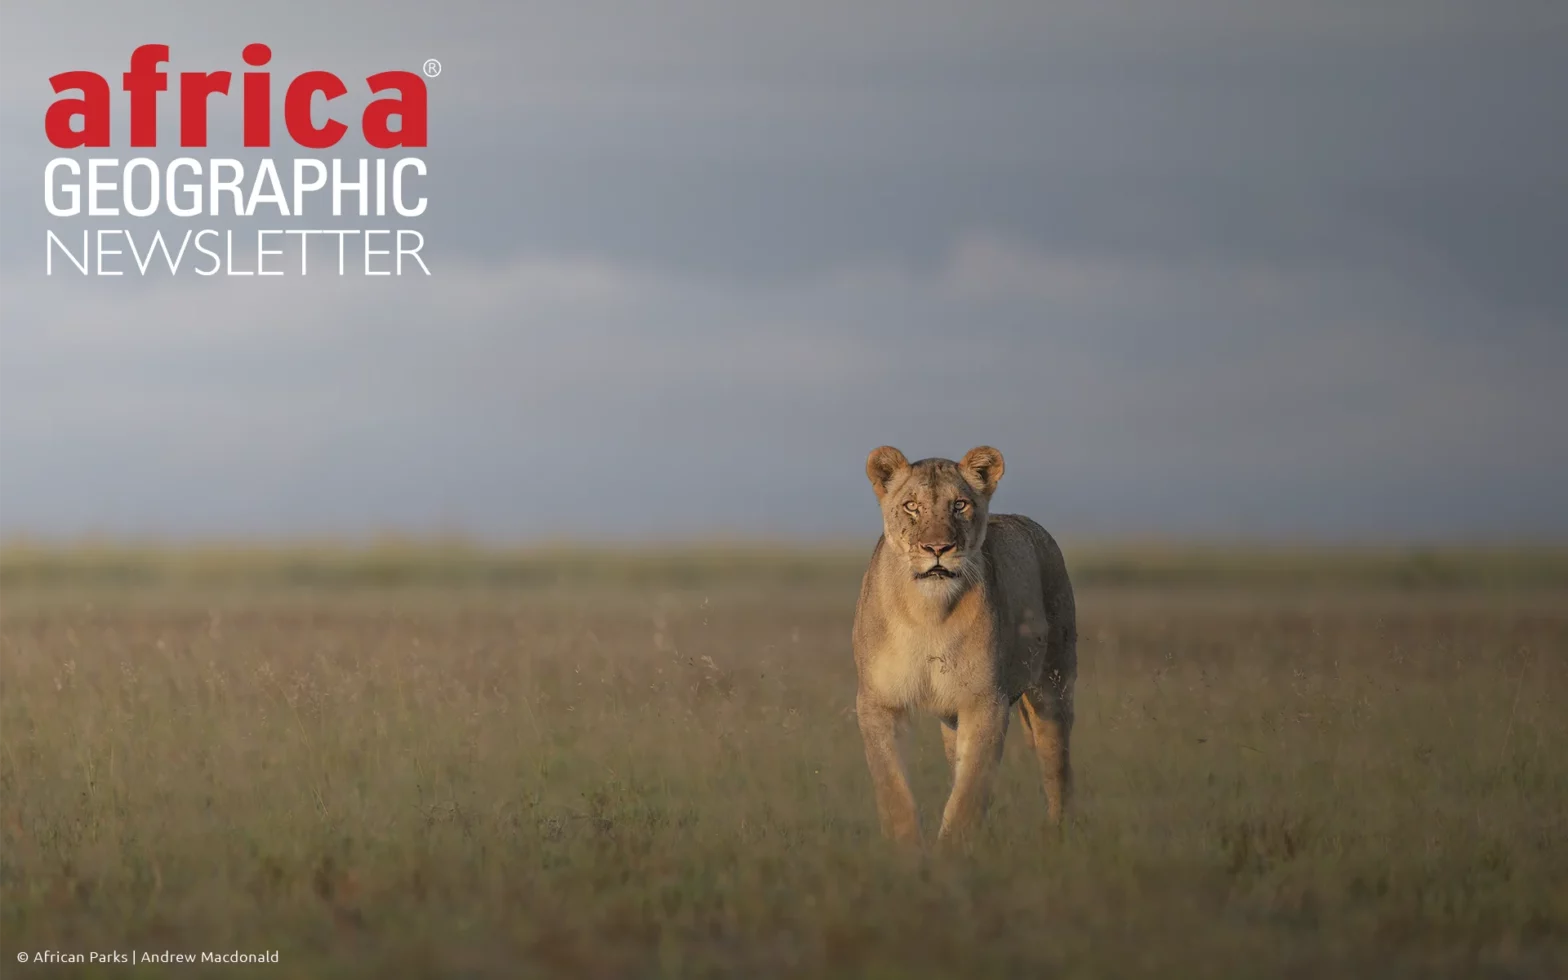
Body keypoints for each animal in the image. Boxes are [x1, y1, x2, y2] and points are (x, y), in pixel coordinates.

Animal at [851, 445, 1077, 848]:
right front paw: (905, 851)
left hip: (1054, 685)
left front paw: (953, 850)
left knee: (1057, 765)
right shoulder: (878, 701)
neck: (927, 612)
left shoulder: (985, 701)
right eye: (911, 506)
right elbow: (892, 786)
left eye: (959, 505)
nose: (938, 547)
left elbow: (970, 790)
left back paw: (1059, 835)